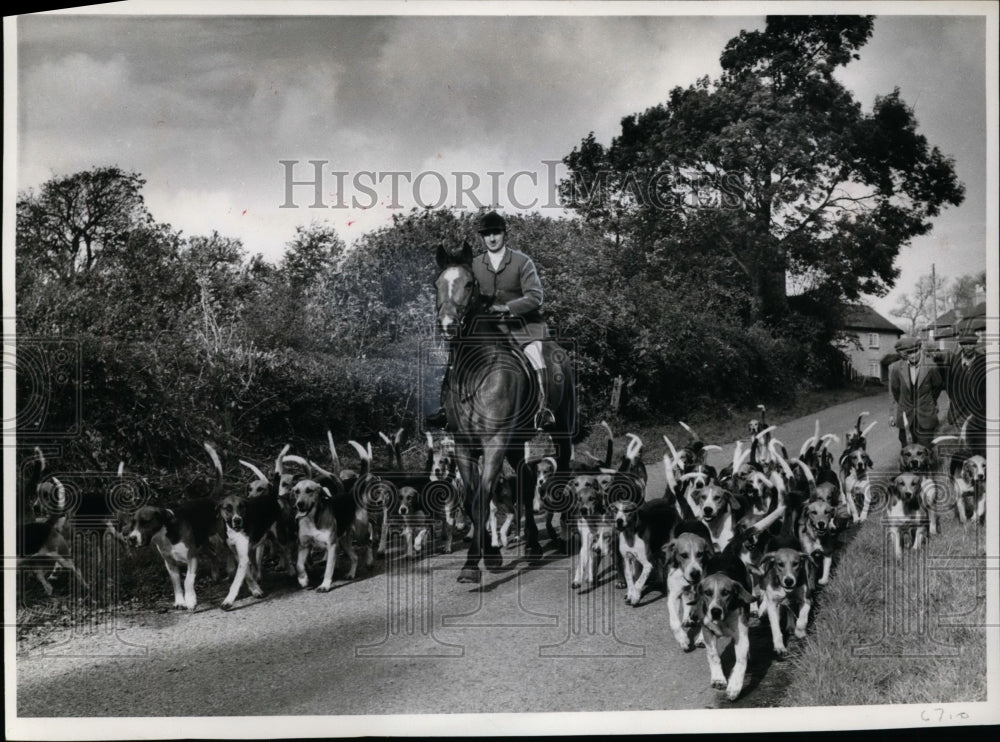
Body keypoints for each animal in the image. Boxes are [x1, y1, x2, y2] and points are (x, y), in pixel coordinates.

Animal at [434, 241, 576, 584]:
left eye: (469, 284)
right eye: (437, 284)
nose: (447, 325)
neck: (473, 371)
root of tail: (557, 349)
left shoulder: (494, 442)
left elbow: (483, 495)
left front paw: (475, 563)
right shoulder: (464, 445)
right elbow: (473, 499)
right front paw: (489, 555)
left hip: (561, 428)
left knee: (563, 467)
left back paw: (565, 531)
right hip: (516, 441)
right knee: (525, 481)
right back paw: (534, 547)